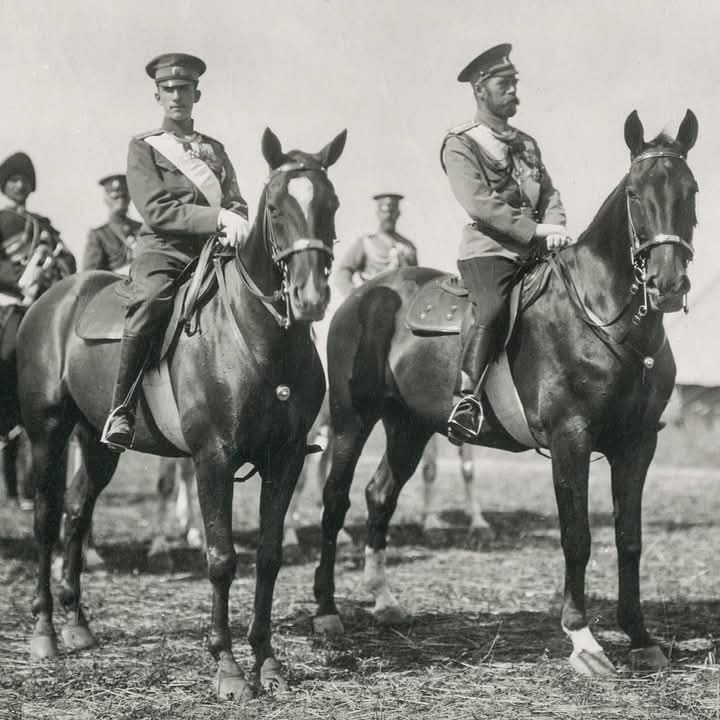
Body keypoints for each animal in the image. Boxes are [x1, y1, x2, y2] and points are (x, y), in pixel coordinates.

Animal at [19, 128, 346, 696]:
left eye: (331, 204)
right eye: (275, 208)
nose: (310, 298)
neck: (256, 337)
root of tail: (53, 297)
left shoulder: (285, 459)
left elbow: (269, 557)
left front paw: (268, 662)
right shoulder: (213, 459)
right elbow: (221, 559)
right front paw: (228, 667)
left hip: (98, 444)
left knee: (77, 512)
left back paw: (79, 624)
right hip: (47, 434)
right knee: (45, 521)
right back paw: (46, 633)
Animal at [314, 111, 696, 676]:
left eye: (691, 190)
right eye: (633, 193)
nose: (668, 284)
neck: (602, 315)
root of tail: (362, 295)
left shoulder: (637, 444)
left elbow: (629, 538)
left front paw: (640, 636)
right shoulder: (570, 438)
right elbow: (577, 536)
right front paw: (583, 639)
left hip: (408, 426)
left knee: (379, 495)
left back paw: (384, 602)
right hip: (350, 419)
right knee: (335, 498)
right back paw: (326, 610)